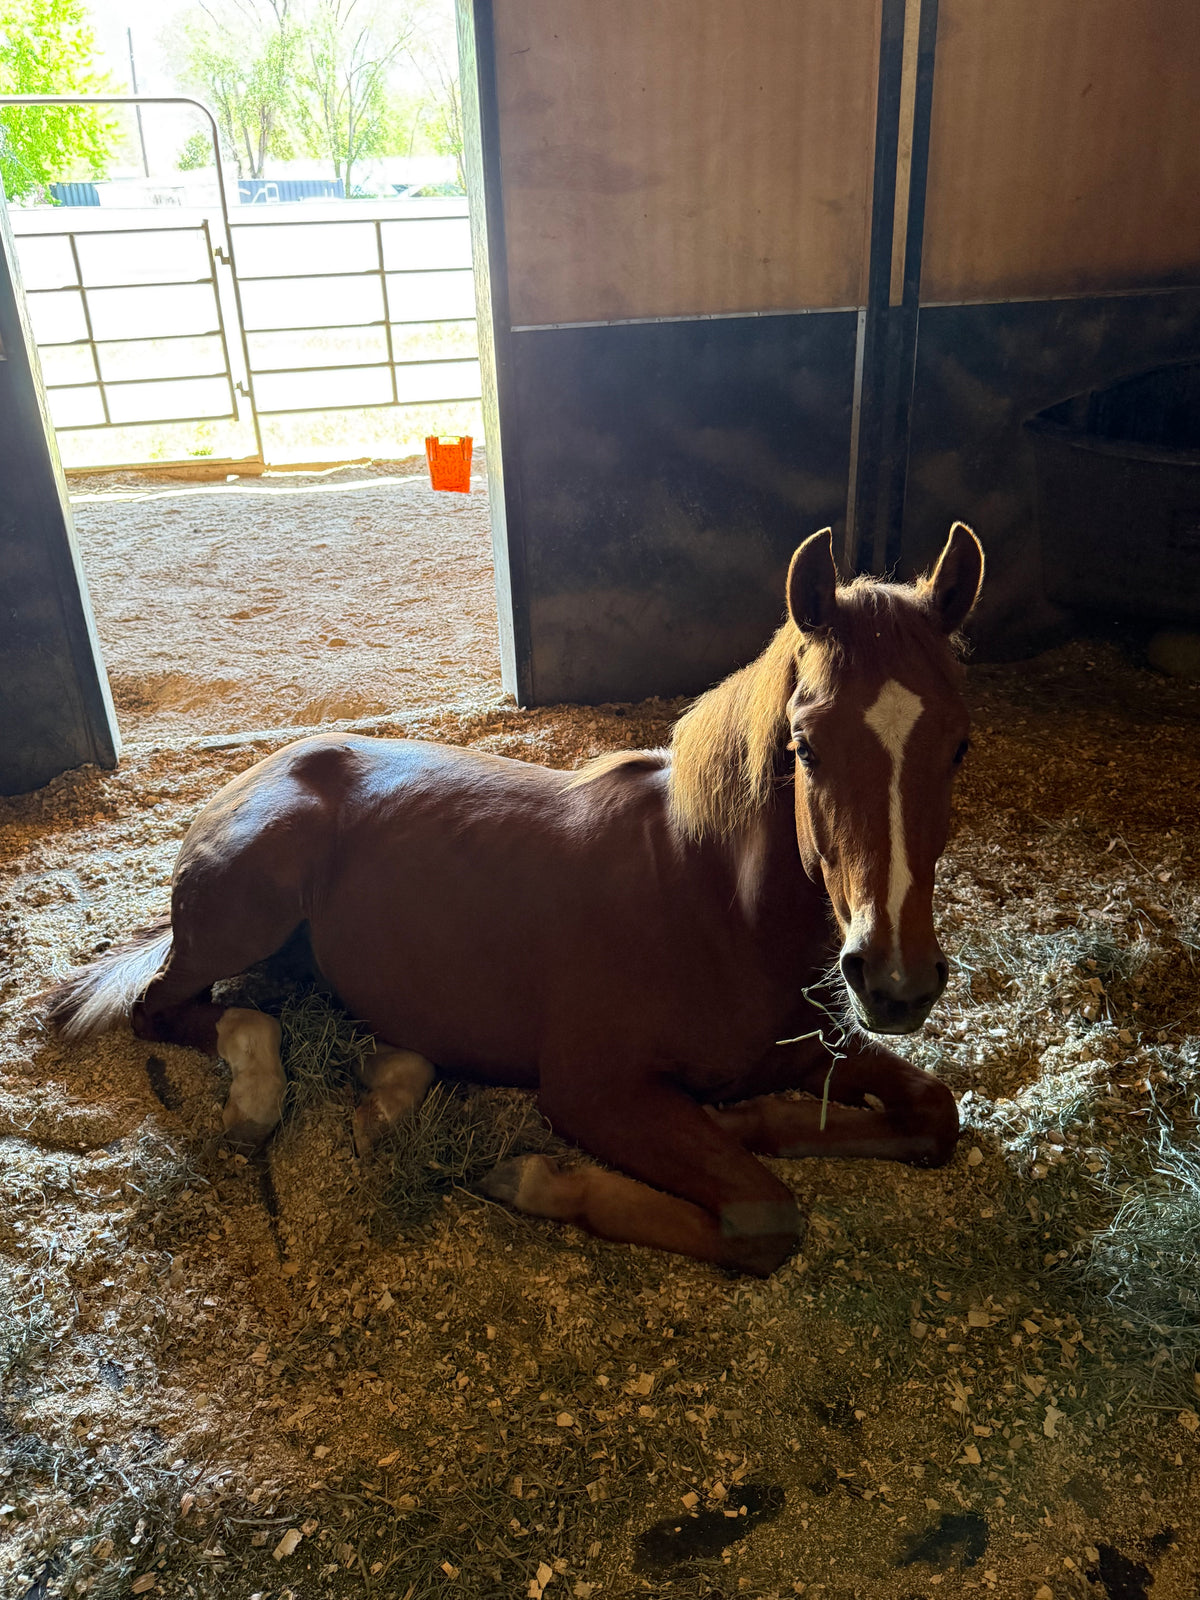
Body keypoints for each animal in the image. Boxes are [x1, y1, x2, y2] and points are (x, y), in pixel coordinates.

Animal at [45, 523, 984, 1277]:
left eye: (960, 745)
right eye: (807, 745)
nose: (895, 983)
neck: (712, 904)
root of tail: (259, 772)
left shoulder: (808, 1049)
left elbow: (935, 1112)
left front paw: (755, 1118)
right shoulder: (594, 1094)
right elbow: (763, 1215)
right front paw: (536, 1181)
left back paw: (385, 1096)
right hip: (249, 911)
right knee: (174, 1008)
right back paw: (258, 1099)